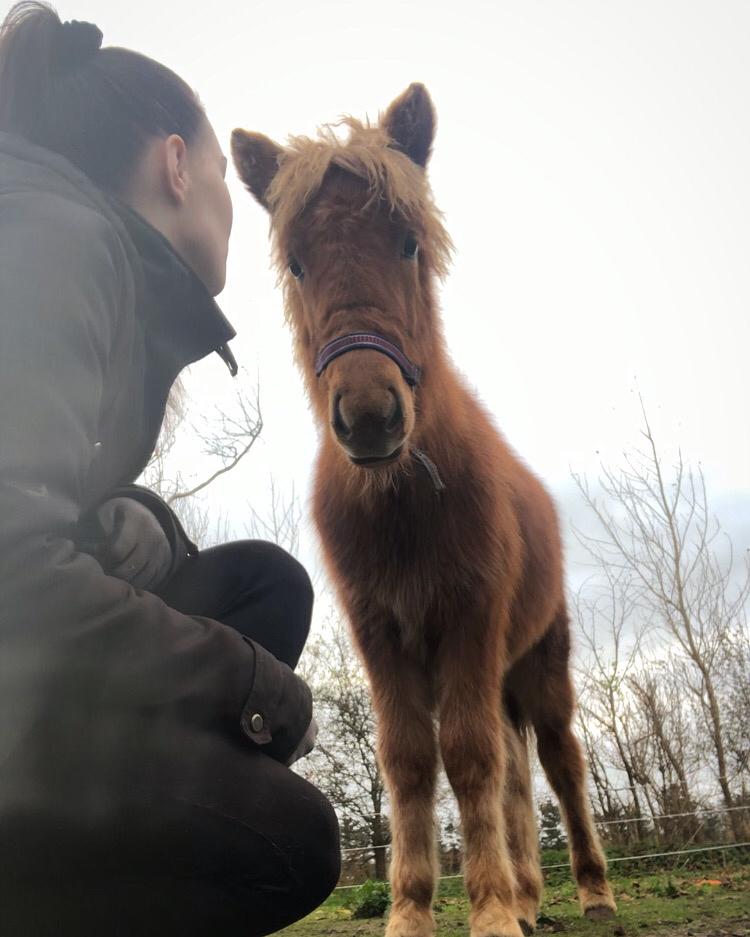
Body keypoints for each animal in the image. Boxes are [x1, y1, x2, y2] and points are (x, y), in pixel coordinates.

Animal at [234, 82, 616, 936]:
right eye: (298, 262)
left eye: (408, 244)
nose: (371, 415)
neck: (403, 503)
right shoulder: (384, 635)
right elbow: (411, 761)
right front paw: (415, 911)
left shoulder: (468, 619)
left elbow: (469, 757)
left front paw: (492, 913)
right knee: (517, 774)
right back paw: (532, 897)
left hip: (539, 668)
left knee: (558, 763)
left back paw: (591, 891)